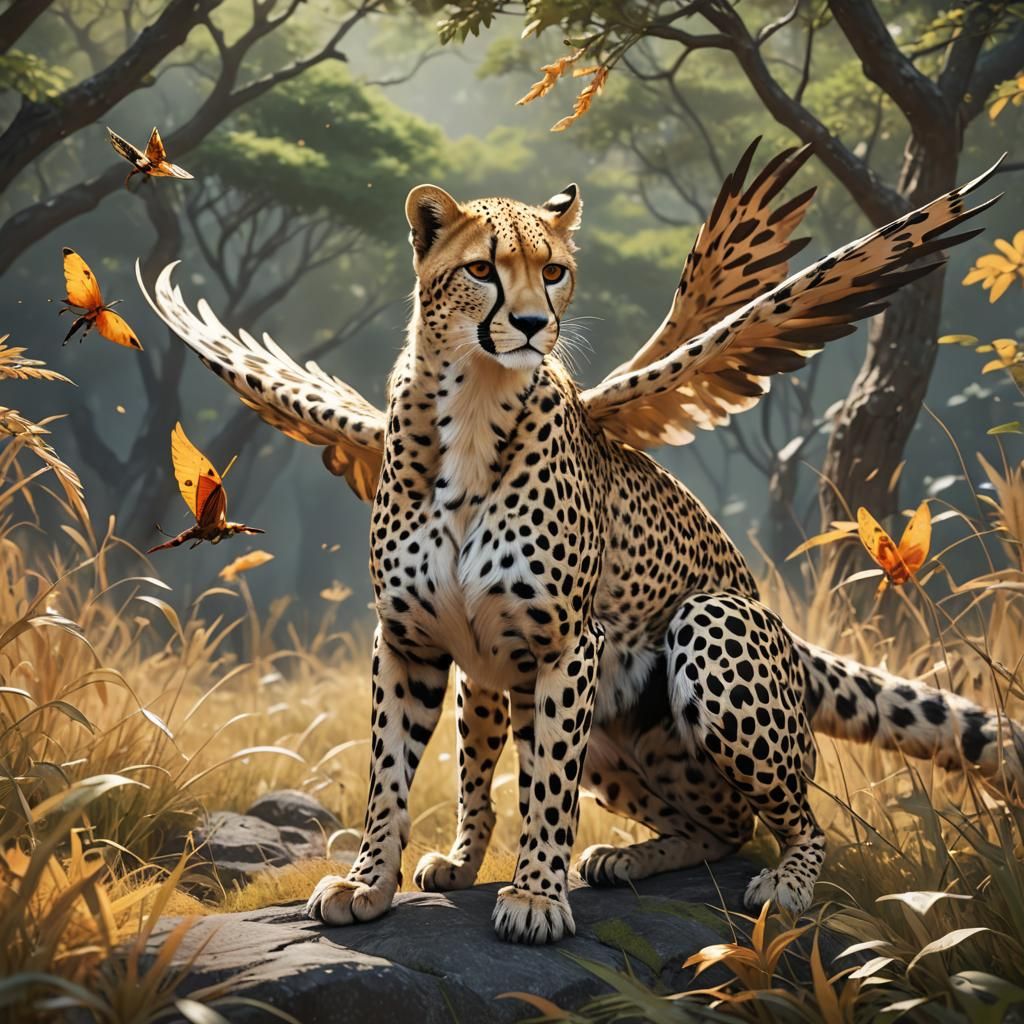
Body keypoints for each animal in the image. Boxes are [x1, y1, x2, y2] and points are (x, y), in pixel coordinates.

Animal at [142, 140, 1019, 945]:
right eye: (484, 269)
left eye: (555, 271)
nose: (533, 325)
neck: (474, 403)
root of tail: (782, 630)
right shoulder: (410, 641)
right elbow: (393, 773)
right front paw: (369, 883)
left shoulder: (569, 644)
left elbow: (546, 787)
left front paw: (534, 896)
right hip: (550, 706)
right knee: (710, 822)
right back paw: (588, 858)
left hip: (710, 623)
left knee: (792, 819)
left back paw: (784, 884)